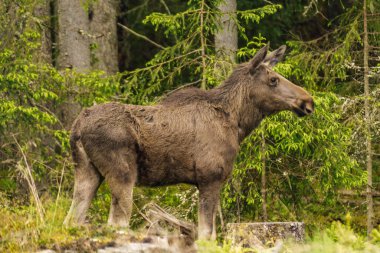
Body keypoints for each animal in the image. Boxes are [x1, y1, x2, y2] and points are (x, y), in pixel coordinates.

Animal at [66, 44, 314, 240]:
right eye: (273, 80)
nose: (308, 101)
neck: (238, 124)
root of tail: (77, 127)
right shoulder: (209, 177)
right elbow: (207, 234)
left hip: (87, 171)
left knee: (72, 220)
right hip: (123, 173)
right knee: (116, 224)